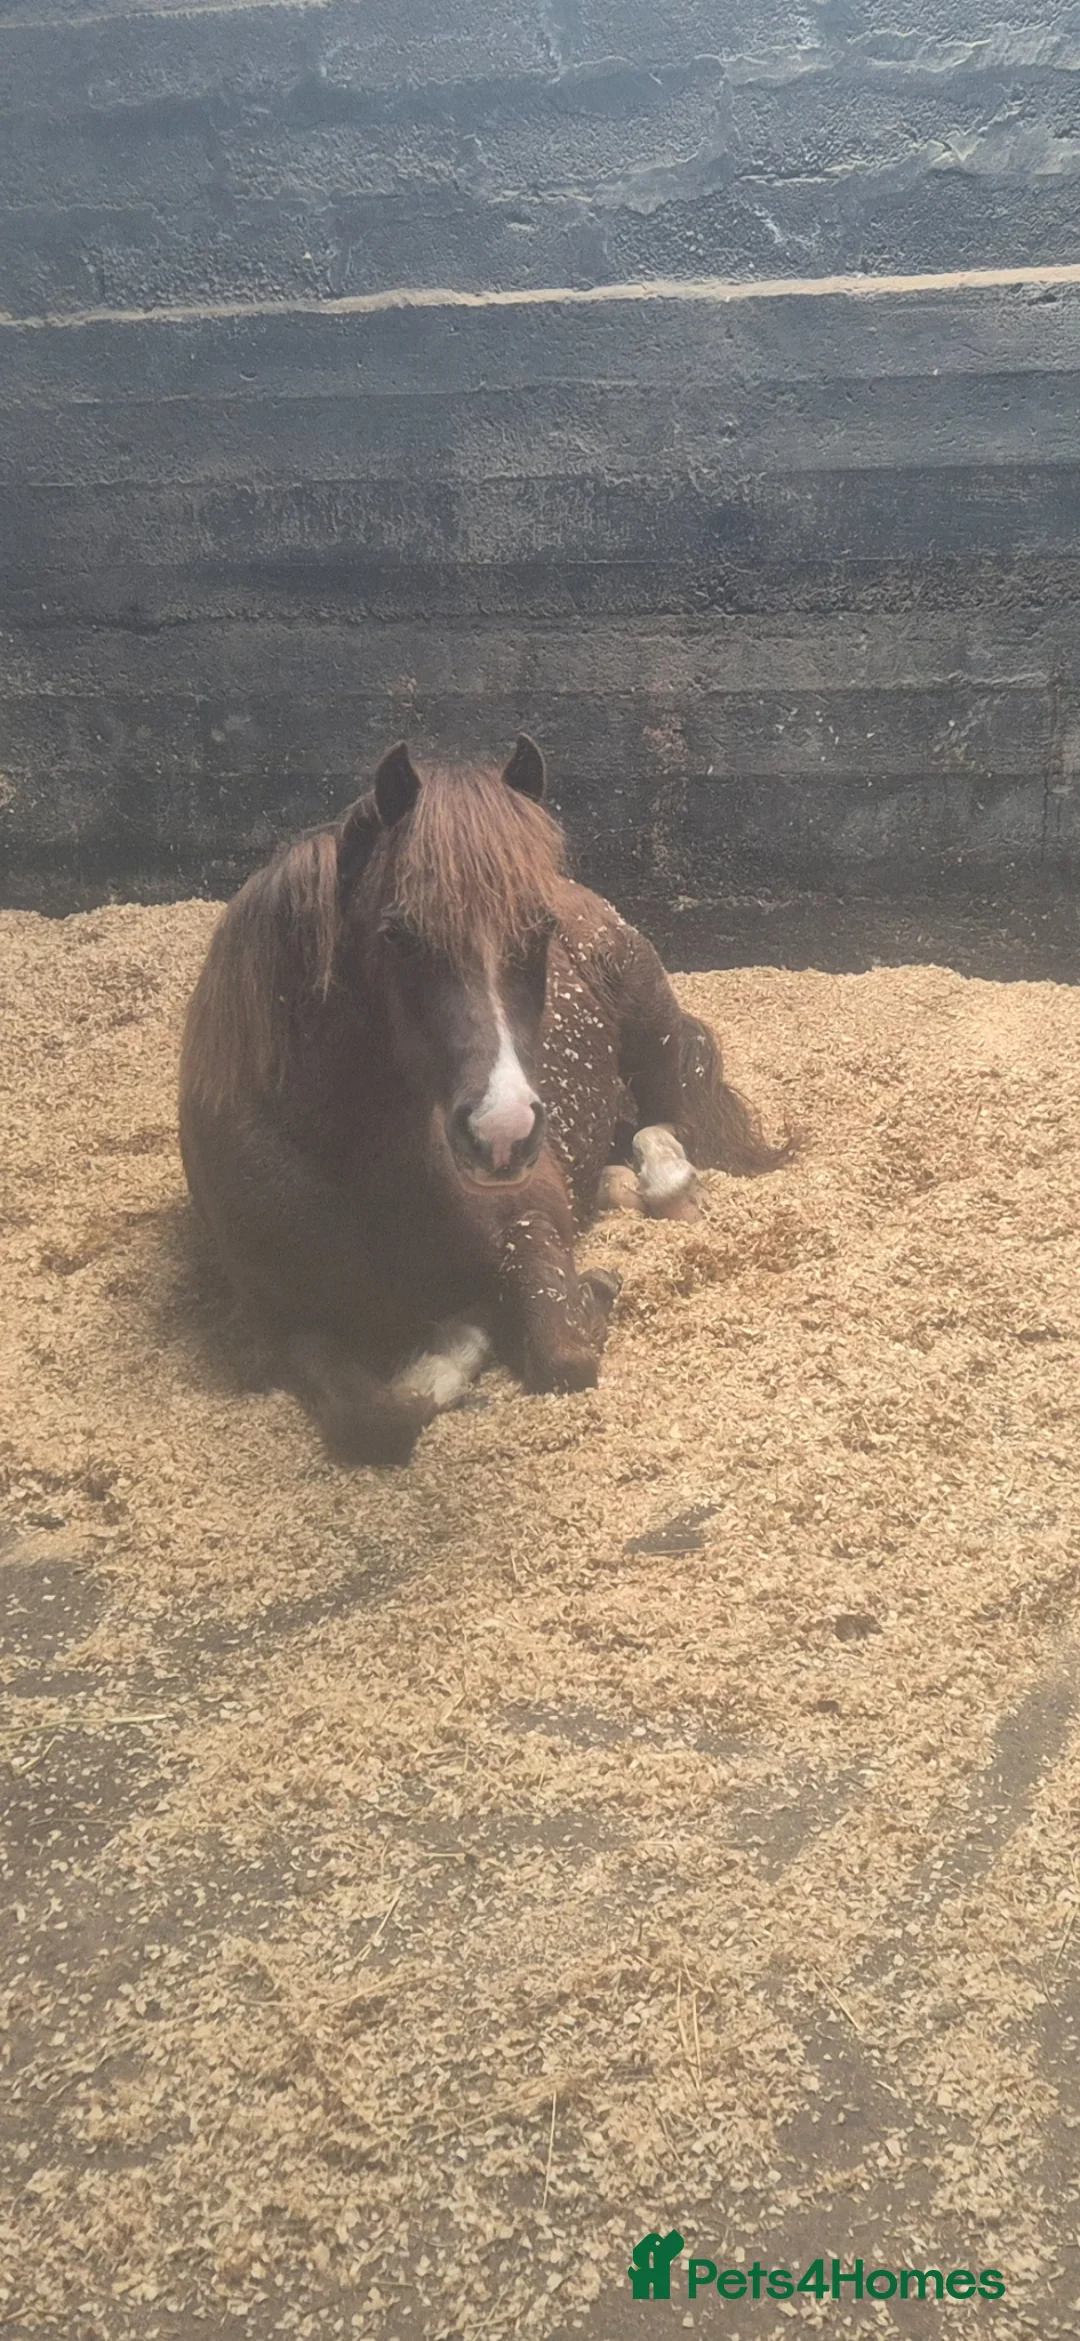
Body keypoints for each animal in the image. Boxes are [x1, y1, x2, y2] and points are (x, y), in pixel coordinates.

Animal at [179, 736, 790, 1467]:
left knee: (672, 1122)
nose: (504, 1132)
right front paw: (454, 1347)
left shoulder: (531, 1225)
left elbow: (565, 1355)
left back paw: (669, 1186)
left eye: (541, 928)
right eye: (396, 933)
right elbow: (372, 1420)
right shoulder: (283, 1321)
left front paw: (517, 1318)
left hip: (655, 1033)